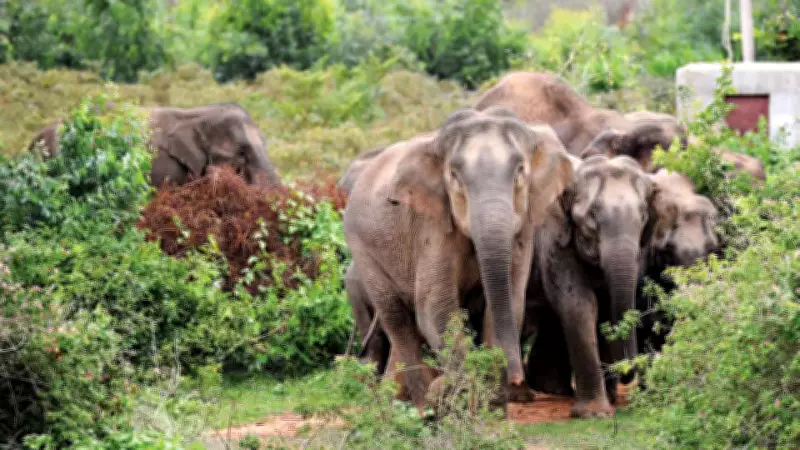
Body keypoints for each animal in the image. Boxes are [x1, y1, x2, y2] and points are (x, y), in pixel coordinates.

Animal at [343, 107, 574, 413]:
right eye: (454, 177)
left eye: (520, 172)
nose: (516, 378)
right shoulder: (432, 226)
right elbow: (435, 310)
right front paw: (466, 398)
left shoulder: (523, 227)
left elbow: (509, 302)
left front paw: (492, 406)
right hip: (363, 250)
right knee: (398, 321)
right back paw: (421, 406)